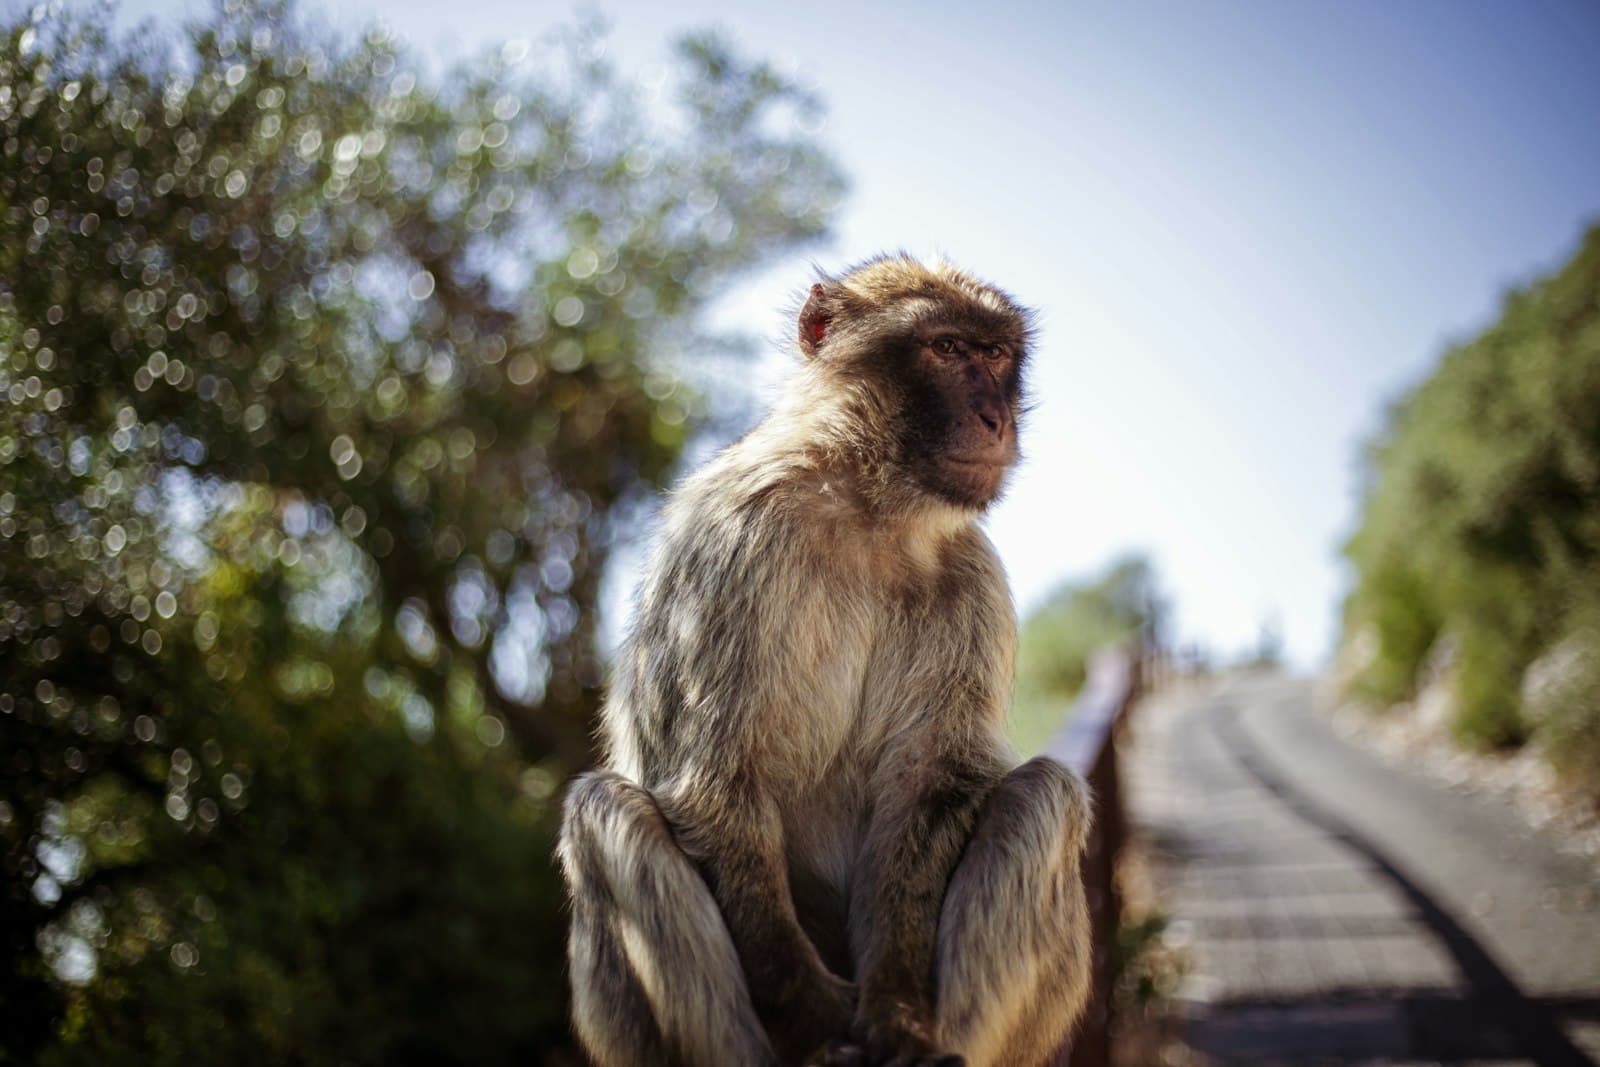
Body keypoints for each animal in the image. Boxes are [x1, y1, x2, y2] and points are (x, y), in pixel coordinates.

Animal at [558, 254, 1092, 1067]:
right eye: (946, 349)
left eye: (996, 354)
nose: (997, 419)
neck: (872, 508)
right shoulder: (736, 540)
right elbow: (715, 782)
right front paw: (811, 1017)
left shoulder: (971, 576)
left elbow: (929, 785)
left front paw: (899, 1016)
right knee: (604, 809)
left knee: (1045, 796)